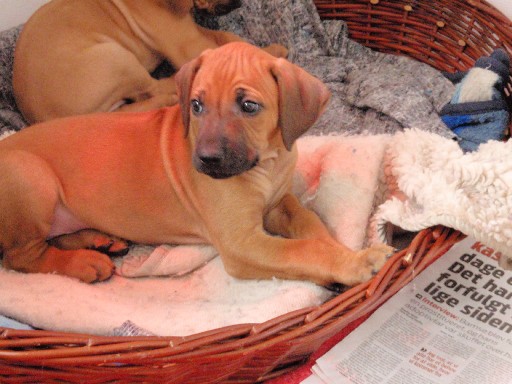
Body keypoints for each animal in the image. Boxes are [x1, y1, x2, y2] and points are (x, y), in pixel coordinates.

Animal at [0, 43, 392, 286]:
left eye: (248, 106)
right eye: (196, 105)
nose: (206, 159)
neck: (264, 164)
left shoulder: (280, 202)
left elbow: (310, 225)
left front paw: (341, 253)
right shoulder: (242, 243)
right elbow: (303, 249)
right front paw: (356, 263)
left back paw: (98, 239)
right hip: (32, 177)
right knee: (21, 256)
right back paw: (84, 262)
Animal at [13, 0, 288, 124]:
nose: (239, 3)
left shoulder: (190, 31)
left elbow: (228, 38)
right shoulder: (186, 42)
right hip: (116, 58)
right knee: (155, 88)